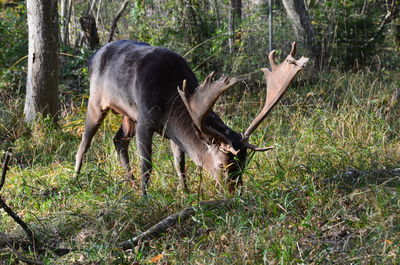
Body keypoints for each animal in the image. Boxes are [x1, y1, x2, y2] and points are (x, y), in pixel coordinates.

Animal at [73, 40, 308, 195]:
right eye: (222, 165)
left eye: (243, 164)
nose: (235, 193)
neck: (170, 100)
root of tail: (92, 56)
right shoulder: (145, 119)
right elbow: (147, 165)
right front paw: (145, 196)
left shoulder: (169, 130)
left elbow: (180, 163)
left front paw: (185, 193)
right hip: (96, 101)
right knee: (84, 142)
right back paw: (75, 179)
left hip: (127, 115)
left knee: (118, 140)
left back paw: (129, 183)